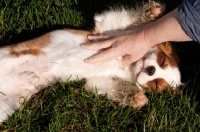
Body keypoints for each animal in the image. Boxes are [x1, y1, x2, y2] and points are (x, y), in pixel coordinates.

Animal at [0, 1, 182, 122]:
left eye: (156, 84)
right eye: (161, 60)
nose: (151, 70)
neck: (127, 65)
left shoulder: (98, 80)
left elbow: (112, 87)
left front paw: (136, 97)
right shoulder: (108, 28)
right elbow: (132, 20)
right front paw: (152, 11)